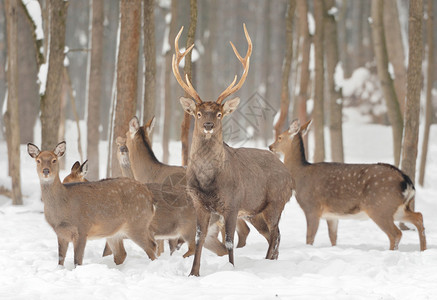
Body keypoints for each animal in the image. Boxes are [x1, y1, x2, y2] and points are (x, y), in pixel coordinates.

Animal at [27, 142, 157, 266]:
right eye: (38, 160)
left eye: (54, 160)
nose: (46, 171)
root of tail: (150, 197)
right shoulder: (60, 233)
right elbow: (60, 260)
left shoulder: (82, 228)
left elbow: (77, 261)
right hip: (115, 232)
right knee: (121, 253)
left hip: (137, 223)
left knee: (152, 246)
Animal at [172, 24, 292, 276]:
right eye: (198, 113)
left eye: (219, 114)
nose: (208, 125)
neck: (208, 181)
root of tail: (290, 175)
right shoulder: (199, 203)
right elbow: (198, 238)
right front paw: (193, 273)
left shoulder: (233, 203)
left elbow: (228, 241)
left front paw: (230, 269)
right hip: (256, 211)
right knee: (273, 235)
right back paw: (270, 261)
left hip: (276, 202)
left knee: (275, 234)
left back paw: (268, 263)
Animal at [270, 119, 426, 251]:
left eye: (280, 137)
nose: (270, 146)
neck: (300, 175)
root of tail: (406, 181)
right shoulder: (331, 215)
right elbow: (333, 237)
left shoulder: (312, 207)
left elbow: (310, 237)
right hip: (397, 207)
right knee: (418, 217)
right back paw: (423, 250)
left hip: (379, 206)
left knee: (396, 233)